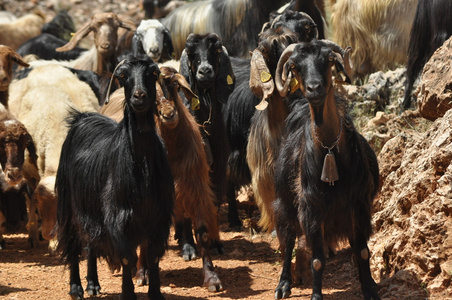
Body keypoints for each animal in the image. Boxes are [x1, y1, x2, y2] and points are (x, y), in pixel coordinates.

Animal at [53, 56, 173, 300]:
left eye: (152, 74)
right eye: (124, 75)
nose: (139, 96)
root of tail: (82, 117)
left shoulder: (159, 218)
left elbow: (153, 256)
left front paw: (155, 293)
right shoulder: (119, 217)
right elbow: (127, 257)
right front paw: (127, 293)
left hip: (92, 209)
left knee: (90, 243)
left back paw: (93, 284)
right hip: (68, 205)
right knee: (73, 243)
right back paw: (76, 288)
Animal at [101, 65, 224, 290]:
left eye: (174, 84)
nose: (169, 114)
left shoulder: (196, 189)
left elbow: (201, 232)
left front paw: (212, 278)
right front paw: (142, 274)